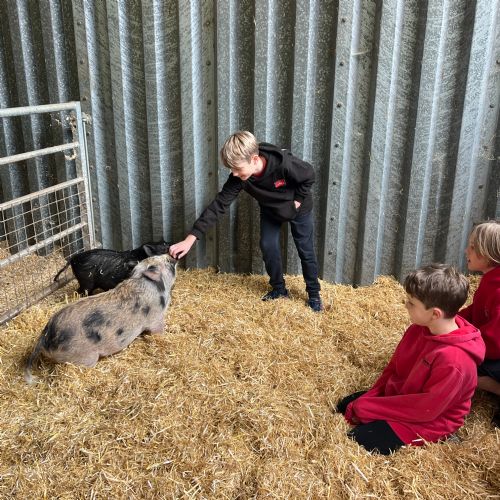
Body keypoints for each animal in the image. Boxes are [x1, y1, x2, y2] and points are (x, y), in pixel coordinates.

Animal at [25, 253, 177, 384]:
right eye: (168, 263)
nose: (172, 256)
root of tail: (46, 334)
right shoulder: (156, 318)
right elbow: (158, 331)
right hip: (84, 357)